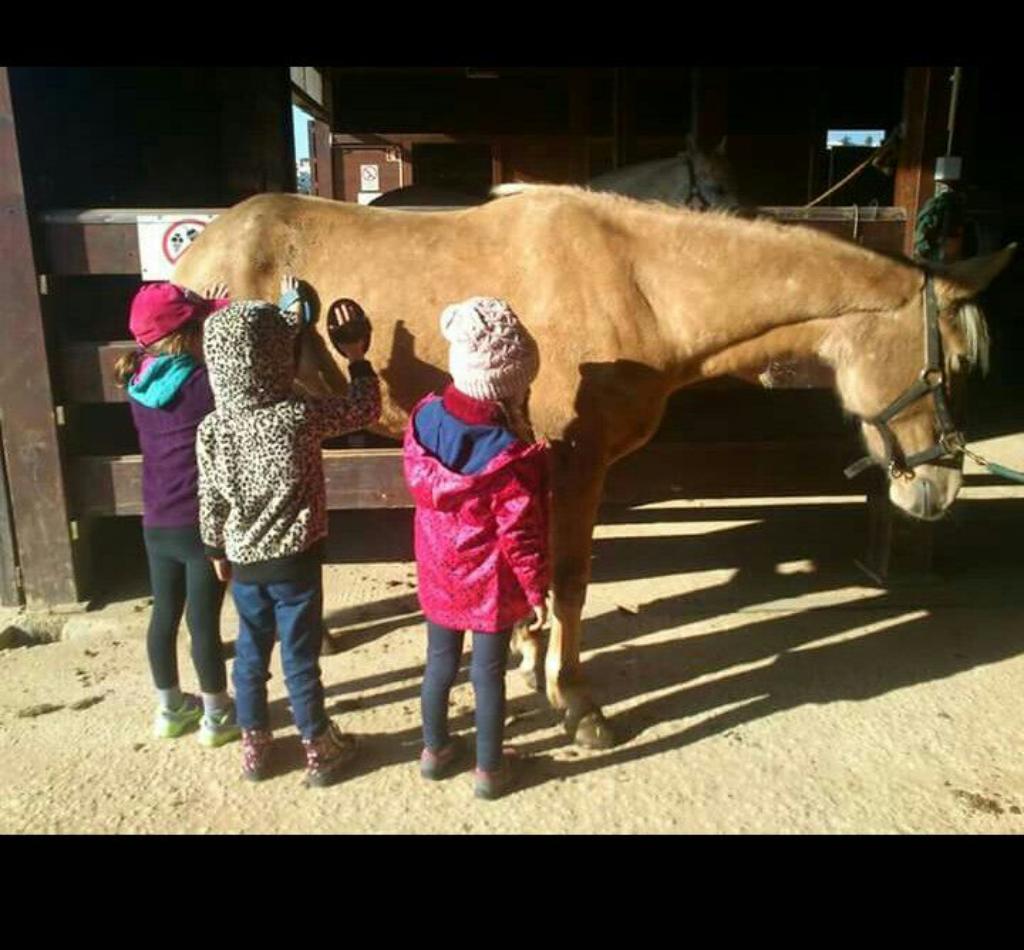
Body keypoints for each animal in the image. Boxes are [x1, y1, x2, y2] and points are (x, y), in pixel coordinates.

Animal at [173, 185, 1014, 749]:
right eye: (954, 366)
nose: (938, 489)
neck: (641, 285)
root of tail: (197, 252)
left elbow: (536, 574)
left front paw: (524, 653)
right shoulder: (577, 463)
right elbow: (570, 581)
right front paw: (574, 701)